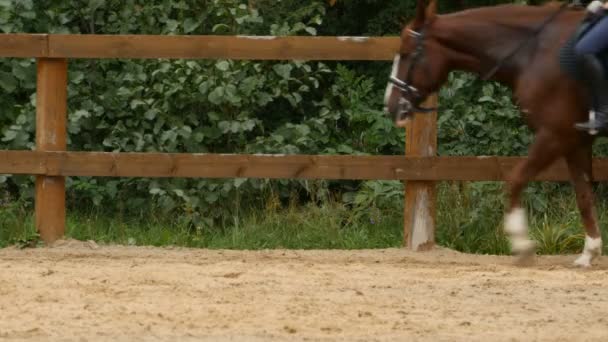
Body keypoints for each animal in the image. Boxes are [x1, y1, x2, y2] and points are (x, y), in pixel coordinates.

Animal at [388, 0, 600, 268]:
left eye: (406, 53)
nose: (391, 105)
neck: (535, 51)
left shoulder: (554, 134)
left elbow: (515, 180)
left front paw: (521, 245)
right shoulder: (575, 140)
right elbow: (583, 195)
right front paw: (589, 252)